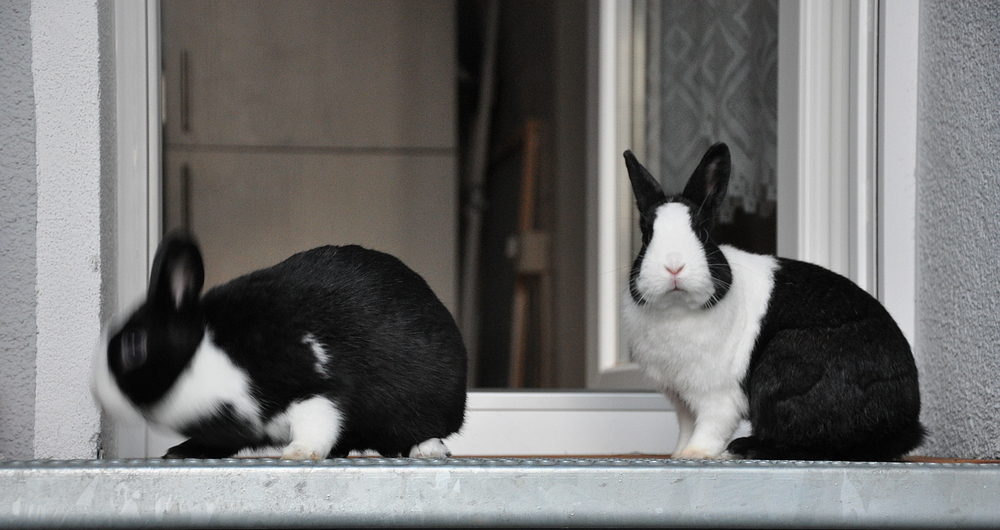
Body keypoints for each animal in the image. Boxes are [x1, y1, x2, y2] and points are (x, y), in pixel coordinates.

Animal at [94, 231, 468, 458]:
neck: (201, 355)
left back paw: (427, 449)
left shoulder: (312, 382)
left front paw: (300, 453)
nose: (98, 394)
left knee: (426, 432)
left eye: (133, 347)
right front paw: (180, 451)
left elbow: (318, 422)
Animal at [620, 143, 924, 458]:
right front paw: (678, 454)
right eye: (646, 235)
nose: (674, 267)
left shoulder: (719, 395)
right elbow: (686, 425)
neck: (677, 308)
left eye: (703, 233)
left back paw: (744, 447)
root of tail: (906, 423)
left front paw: (696, 454)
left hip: (785, 369)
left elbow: (710, 427)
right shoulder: (681, 398)